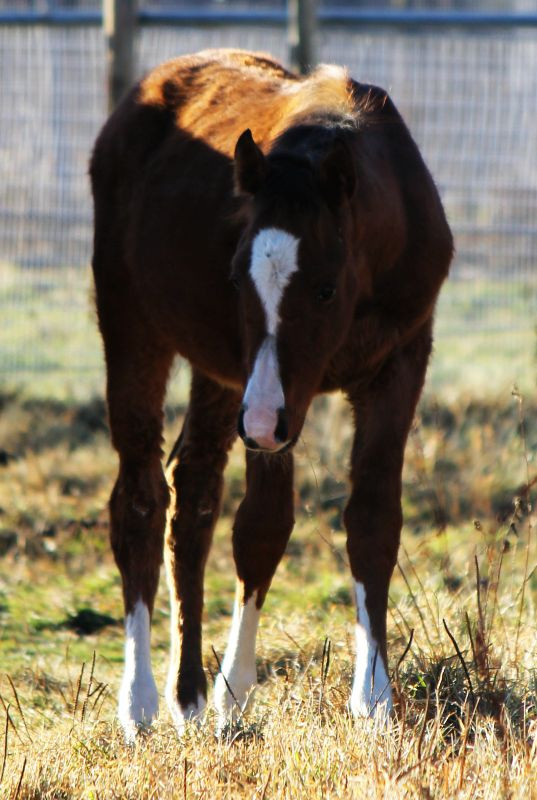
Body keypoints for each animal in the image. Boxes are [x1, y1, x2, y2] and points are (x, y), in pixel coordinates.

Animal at [91, 48, 452, 736]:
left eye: (325, 287)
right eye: (236, 278)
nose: (259, 425)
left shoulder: (398, 365)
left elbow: (373, 518)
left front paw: (373, 700)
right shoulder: (273, 400)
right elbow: (262, 526)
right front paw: (235, 694)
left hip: (225, 380)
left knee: (194, 492)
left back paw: (186, 696)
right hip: (135, 330)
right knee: (141, 499)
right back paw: (140, 702)